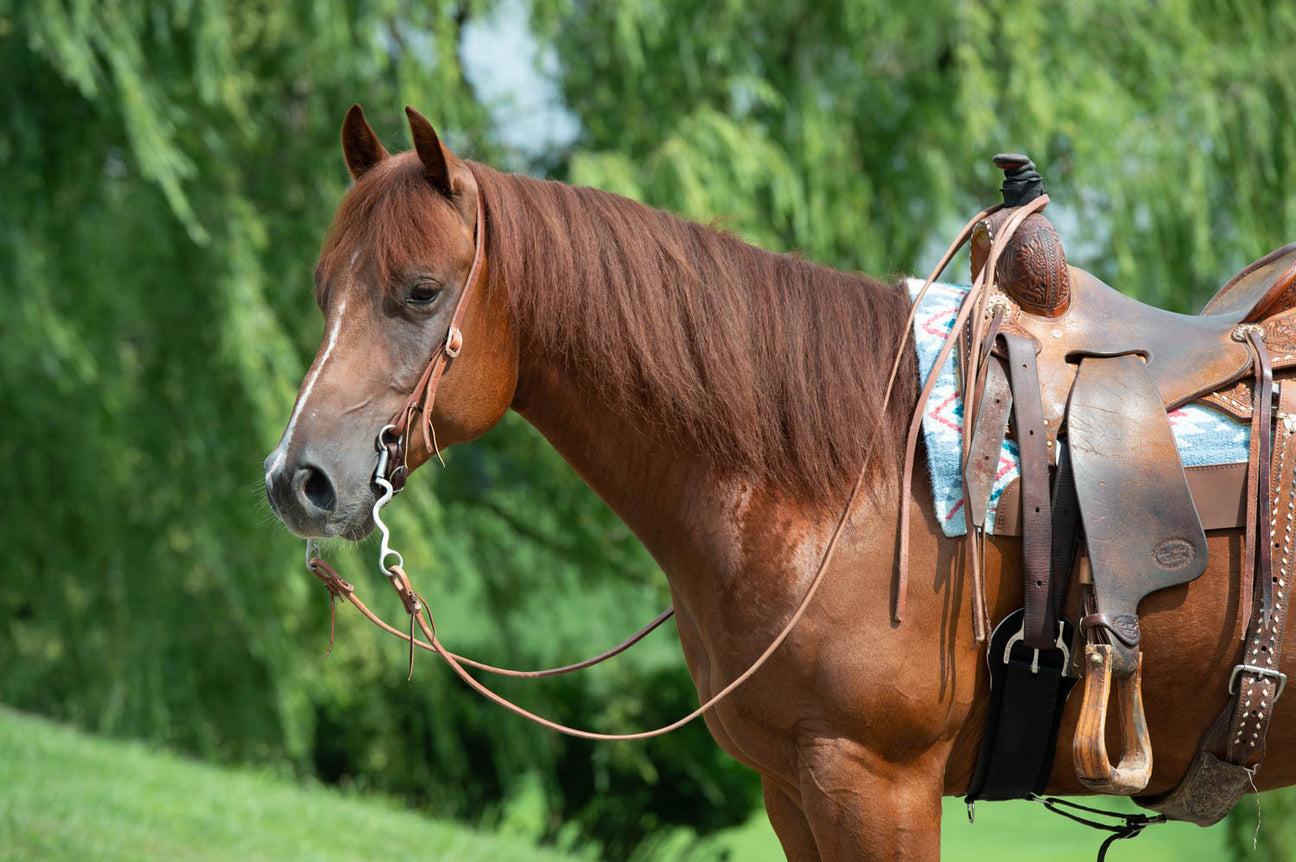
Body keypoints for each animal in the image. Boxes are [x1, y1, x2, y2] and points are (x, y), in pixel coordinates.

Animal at [263, 105, 1296, 855]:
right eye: (322, 290)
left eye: (421, 291)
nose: (296, 481)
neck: (844, 484)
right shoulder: (792, 789)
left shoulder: (876, 785)